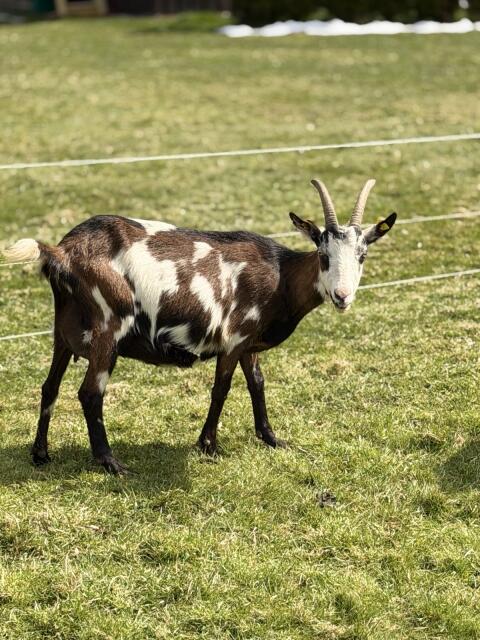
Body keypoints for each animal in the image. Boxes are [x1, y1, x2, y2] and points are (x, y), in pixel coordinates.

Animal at [4, 179, 396, 474]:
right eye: (324, 255)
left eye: (362, 256)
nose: (343, 296)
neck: (281, 275)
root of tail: (63, 252)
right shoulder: (234, 337)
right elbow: (221, 388)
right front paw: (208, 445)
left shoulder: (249, 344)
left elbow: (257, 383)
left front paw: (270, 438)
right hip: (107, 328)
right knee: (90, 393)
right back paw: (110, 462)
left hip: (63, 333)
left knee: (49, 387)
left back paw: (40, 454)